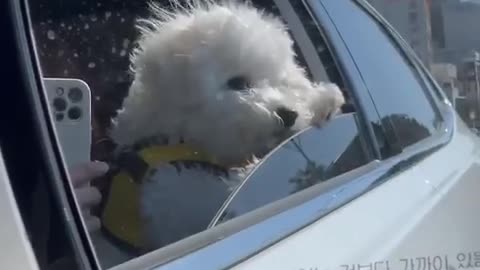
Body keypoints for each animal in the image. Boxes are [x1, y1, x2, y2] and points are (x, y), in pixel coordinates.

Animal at [109, 0, 344, 249]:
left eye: (282, 83)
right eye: (238, 82)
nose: (289, 114)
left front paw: (323, 102)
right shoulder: (174, 197)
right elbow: (229, 193)